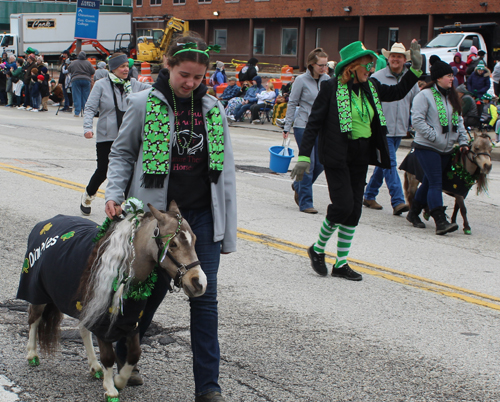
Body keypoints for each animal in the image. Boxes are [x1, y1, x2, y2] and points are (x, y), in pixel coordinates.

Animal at [17, 201, 205, 402]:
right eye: (174, 244)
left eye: (195, 240)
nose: (199, 282)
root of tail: (47, 222)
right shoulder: (101, 318)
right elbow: (108, 356)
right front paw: (111, 388)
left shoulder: (131, 321)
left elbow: (135, 353)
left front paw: (121, 379)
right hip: (39, 291)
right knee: (34, 318)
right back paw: (32, 354)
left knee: (83, 330)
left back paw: (94, 366)